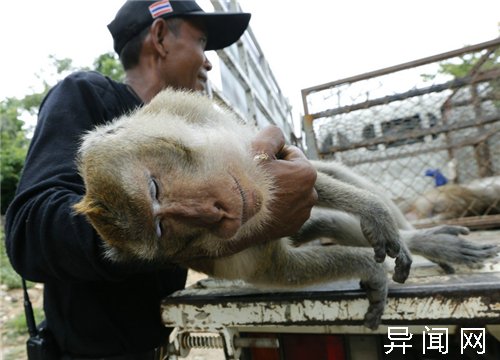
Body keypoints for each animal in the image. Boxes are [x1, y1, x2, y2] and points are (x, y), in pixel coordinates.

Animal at [72, 88, 498, 330]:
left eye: (155, 187)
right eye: (165, 229)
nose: (212, 213)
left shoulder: (194, 112)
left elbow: (305, 173)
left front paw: (374, 213)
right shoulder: (213, 252)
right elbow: (279, 269)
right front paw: (371, 270)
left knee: (328, 189)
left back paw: (423, 240)